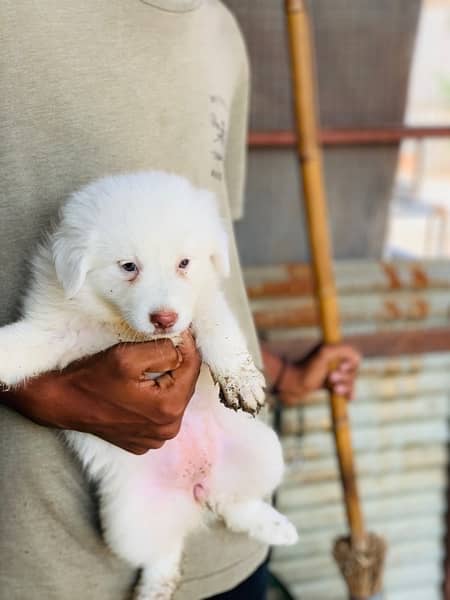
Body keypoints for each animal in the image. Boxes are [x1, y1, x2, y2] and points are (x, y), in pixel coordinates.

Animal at [0, 171, 298, 596]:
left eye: (184, 263)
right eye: (128, 266)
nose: (165, 319)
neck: (122, 325)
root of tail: (196, 485)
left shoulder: (203, 300)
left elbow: (218, 330)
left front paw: (241, 379)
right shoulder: (54, 332)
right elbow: (19, 346)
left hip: (265, 452)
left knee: (235, 503)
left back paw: (275, 525)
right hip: (128, 524)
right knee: (165, 550)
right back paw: (156, 588)